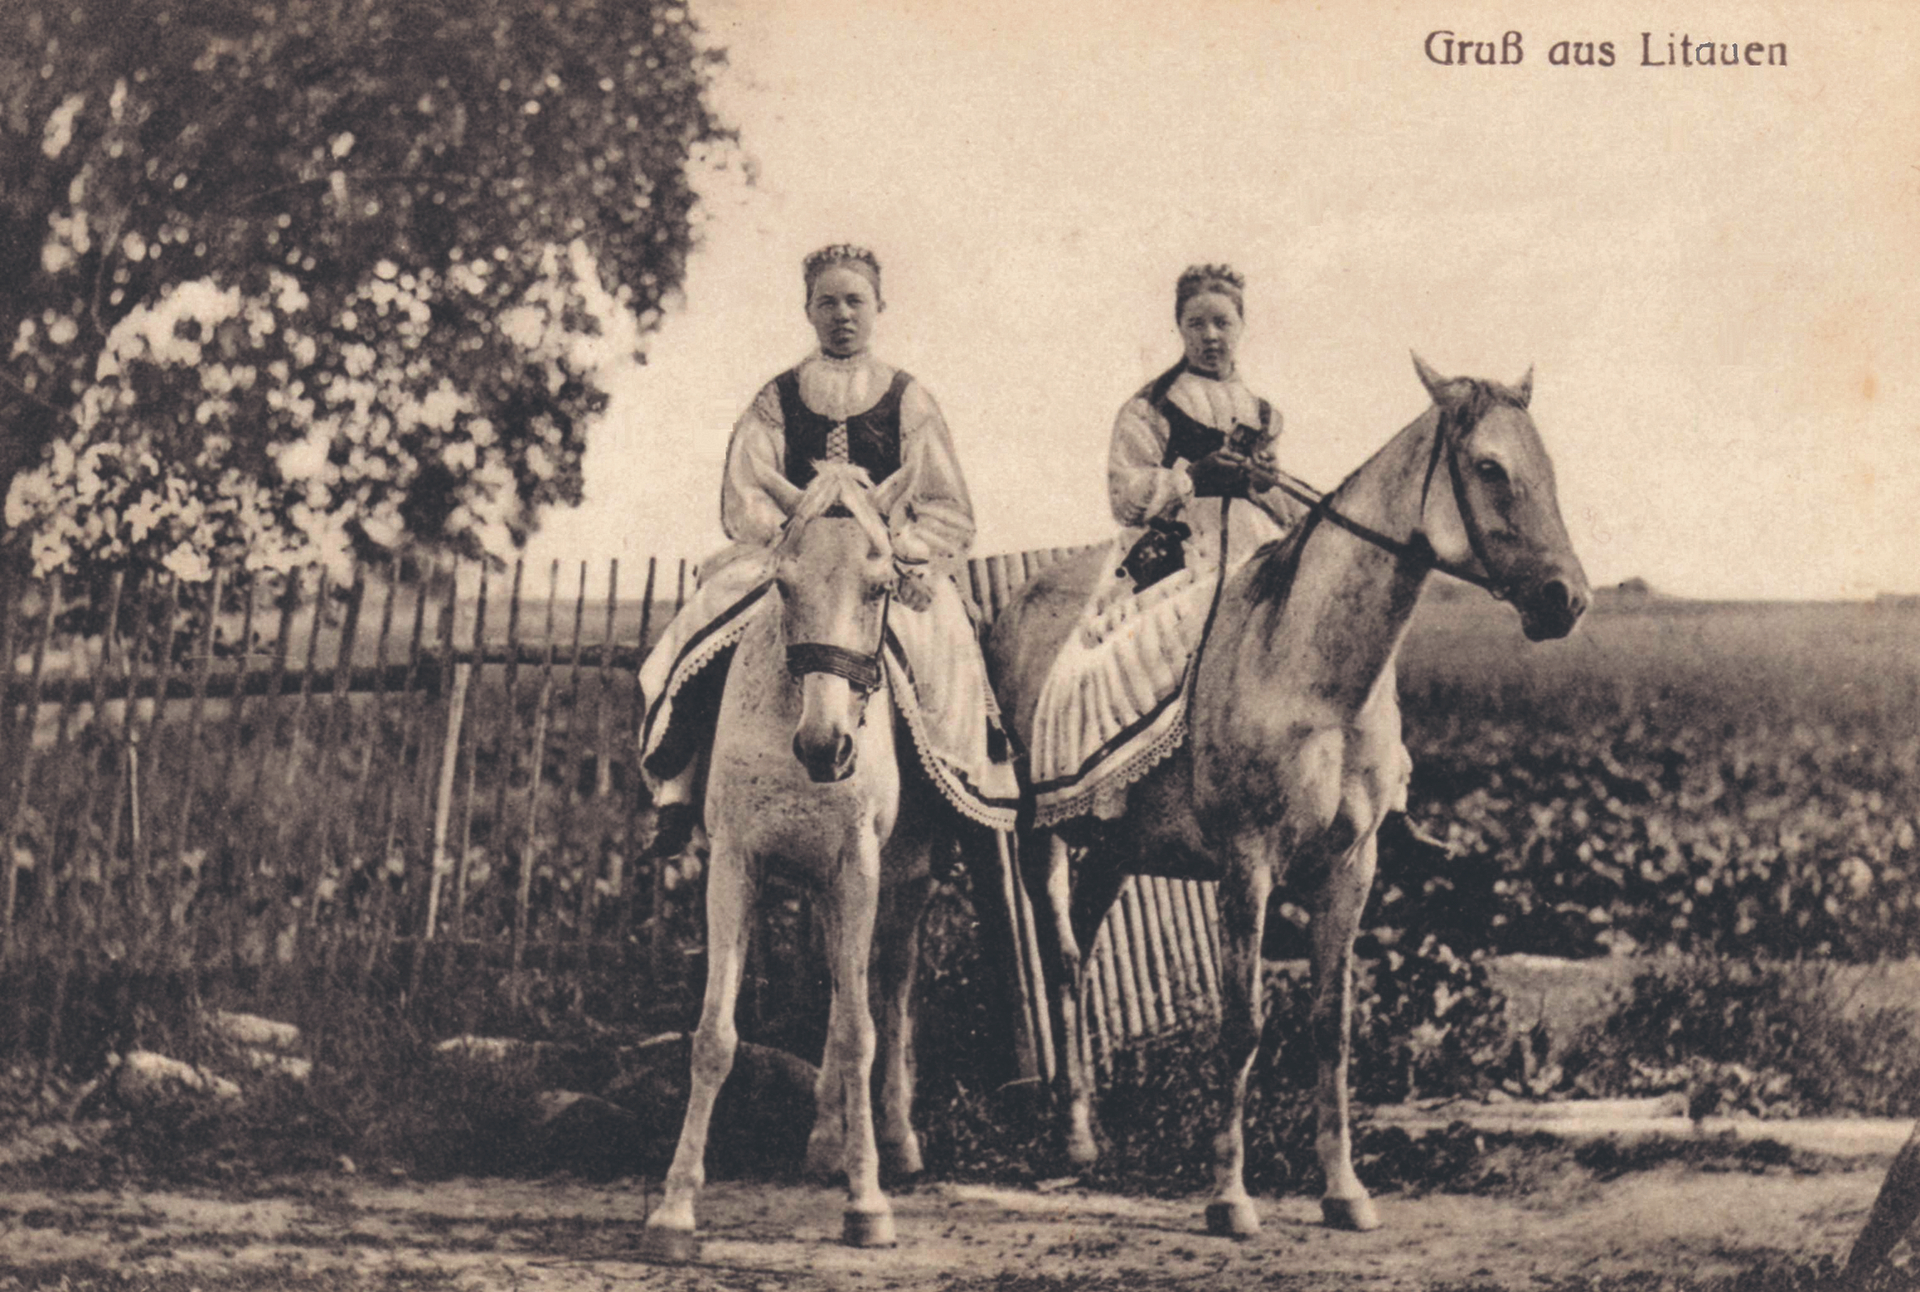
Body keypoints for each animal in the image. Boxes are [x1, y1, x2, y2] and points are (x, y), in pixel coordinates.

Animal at [645, 466, 936, 1259]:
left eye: (880, 585)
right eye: (782, 583)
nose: (824, 747)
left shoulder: (861, 869)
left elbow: (863, 1031)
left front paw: (867, 1204)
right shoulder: (735, 865)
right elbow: (715, 1036)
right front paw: (675, 1210)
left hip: (899, 884)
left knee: (889, 991)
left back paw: (896, 1144)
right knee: (840, 992)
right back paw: (826, 1142)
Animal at [990, 355, 1589, 1236]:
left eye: (1545, 466)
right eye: (1489, 467)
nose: (1566, 599)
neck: (1315, 676)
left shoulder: (1351, 867)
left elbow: (1330, 1028)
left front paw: (1344, 1190)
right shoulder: (1248, 868)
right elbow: (1243, 1025)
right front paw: (1229, 1197)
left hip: (1117, 847)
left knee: (1085, 952)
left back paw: (1090, 1134)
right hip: (1043, 838)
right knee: (1062, 960)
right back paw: (1069, 1140)